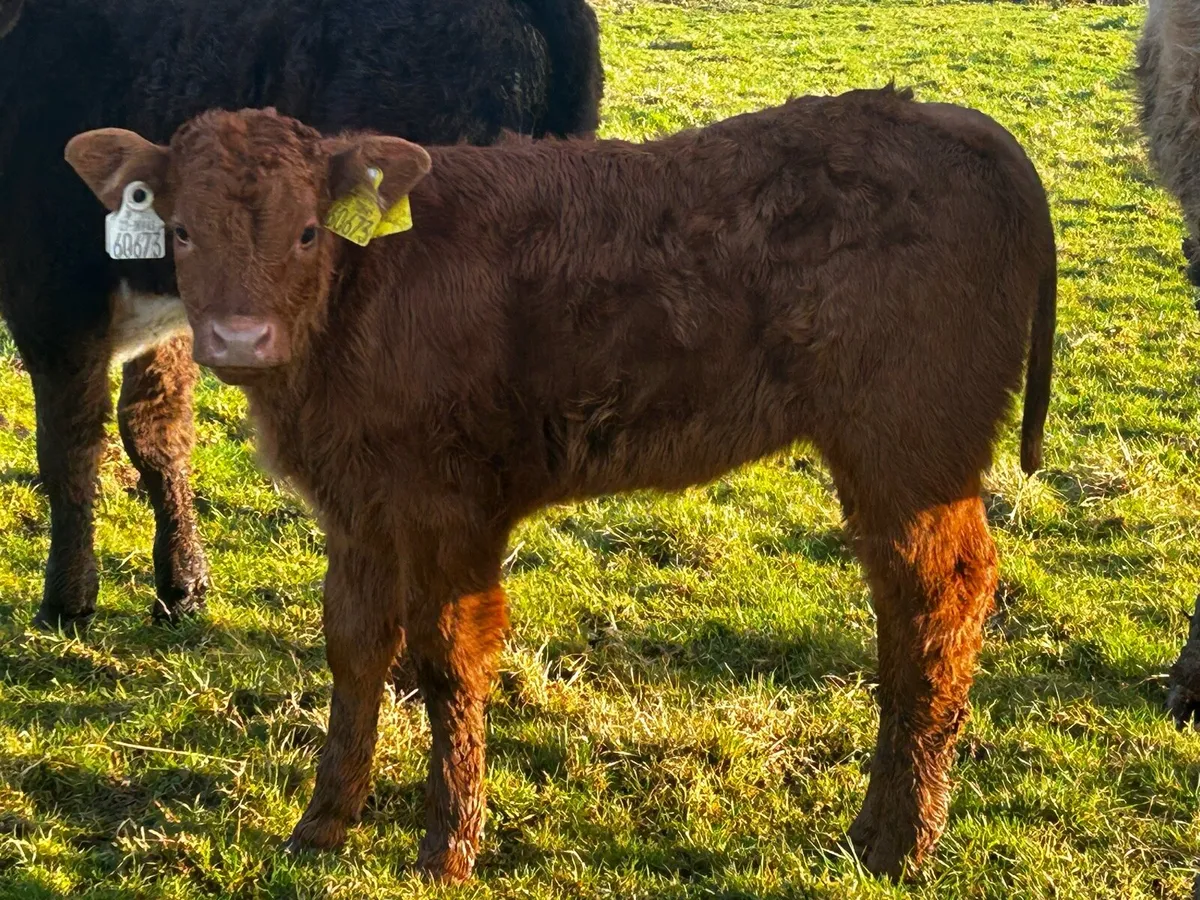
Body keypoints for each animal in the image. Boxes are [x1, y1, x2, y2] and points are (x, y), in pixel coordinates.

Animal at [64, 88, 1057, 880]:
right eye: (182, 230)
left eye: (308, 231)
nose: (238, 338)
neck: (359, 301)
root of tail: (947, 118)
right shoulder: (356, 508)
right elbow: (355, 648)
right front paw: (322, 825)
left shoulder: (452, 508)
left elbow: (449, 659)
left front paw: (447, 847)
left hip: (908, 449)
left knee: (938, 604)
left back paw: (896, 842)